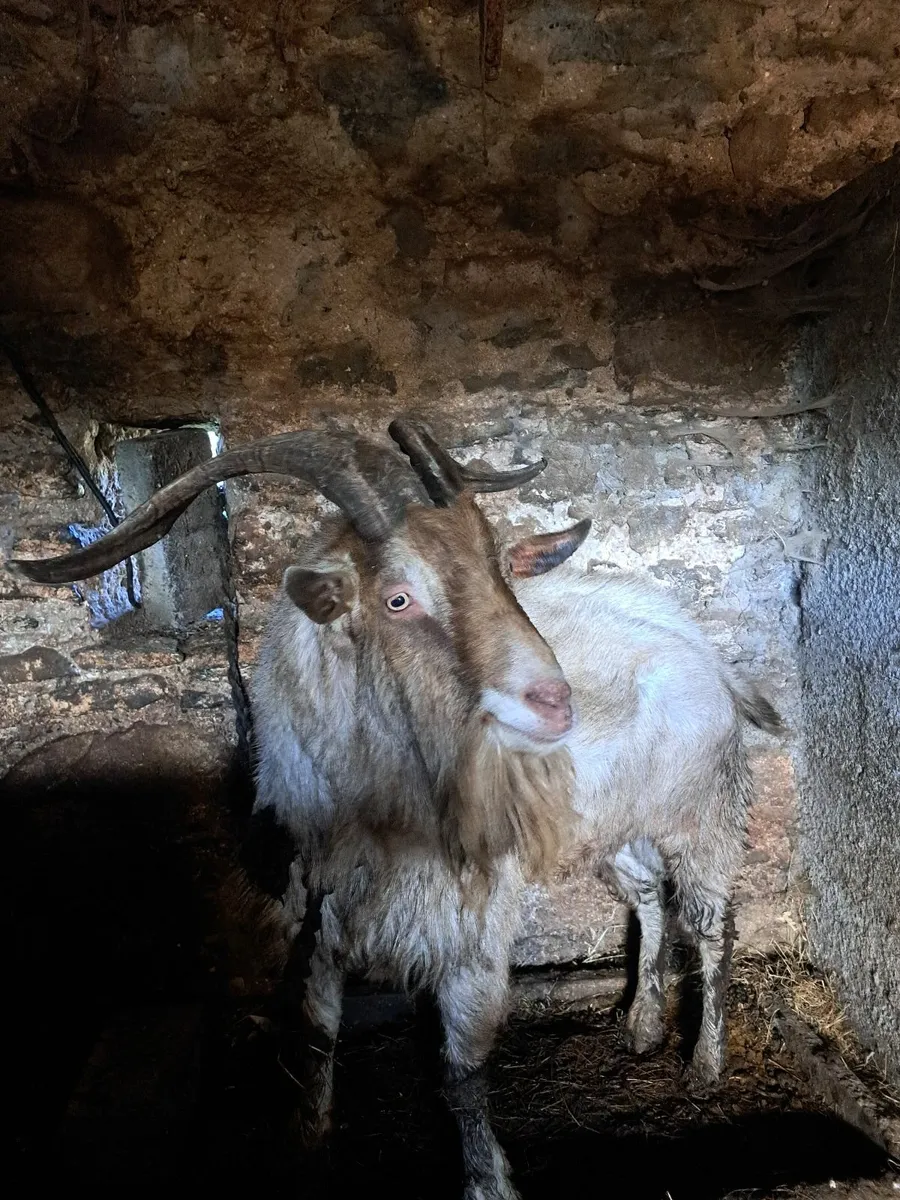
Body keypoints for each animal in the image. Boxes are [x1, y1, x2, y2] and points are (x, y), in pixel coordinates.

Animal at [10, 415, 780, 1200]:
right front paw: (308, 1144)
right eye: (398, 599)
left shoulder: (470, 917)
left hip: (701, 812)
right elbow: (317, 1033)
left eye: (501, 572)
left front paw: (488, 1181)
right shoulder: (318, 910)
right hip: (612, 825)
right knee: (650, 898)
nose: (555, 702)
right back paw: (643, 1026)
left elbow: (463, 1064)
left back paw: (704, 1065)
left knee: (711, 925)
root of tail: (708, 654)